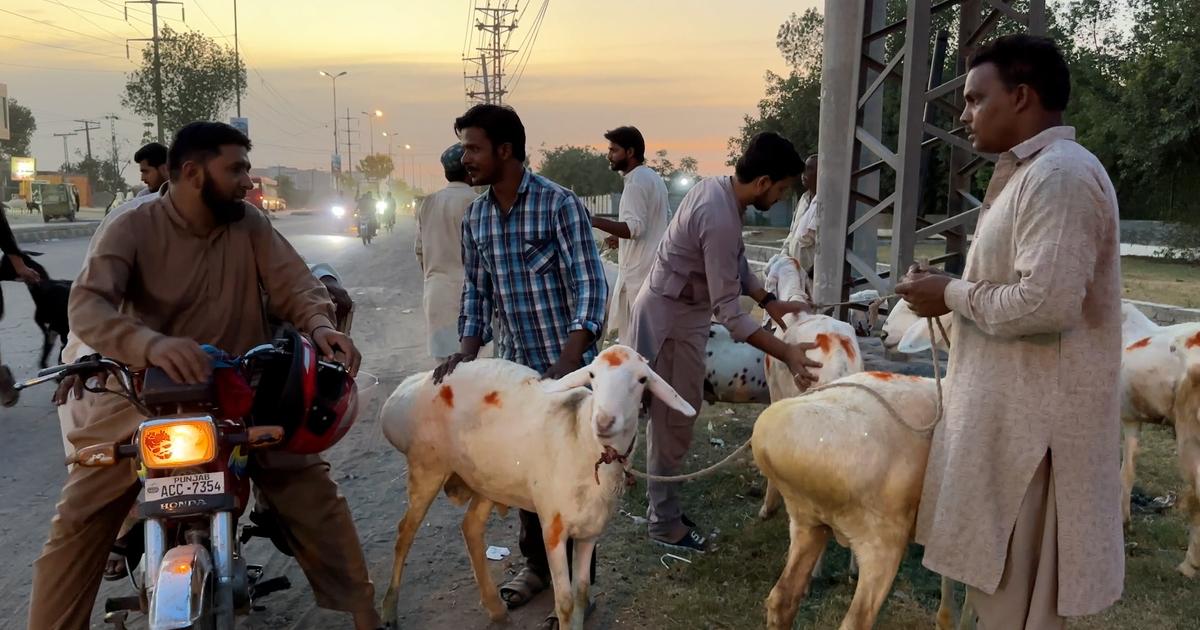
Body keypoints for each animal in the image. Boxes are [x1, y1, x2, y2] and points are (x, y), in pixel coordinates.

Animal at [374, 343, 696, 628]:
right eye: (592, 375)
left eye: (642, 380)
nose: (604, 421)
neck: (582, 439)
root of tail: (411, 386)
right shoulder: (553, 528)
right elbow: (564, 603)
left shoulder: (590, 531)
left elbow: (581, 596)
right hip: (427, 467)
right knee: (404, 535)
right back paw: (389, 611)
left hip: (489, 478)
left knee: (471, 527)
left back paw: (495, 608)